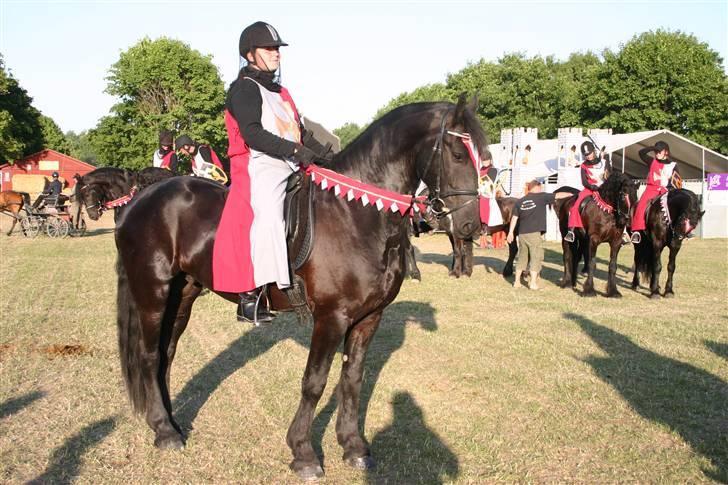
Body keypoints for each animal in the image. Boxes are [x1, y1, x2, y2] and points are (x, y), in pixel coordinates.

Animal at [77, 96, 486, 478]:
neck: (354, 215)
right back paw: (164, 431)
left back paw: (169, 422)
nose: (470, 226)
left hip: (183, 295)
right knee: (149, 356)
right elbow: (315, 382)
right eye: (456, 153)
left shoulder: (369, 318)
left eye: (483, 157)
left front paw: (353, 446)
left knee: (166, 354)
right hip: (153, 293)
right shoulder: (331, 317)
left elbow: (352, 379)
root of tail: (140, 199)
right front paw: (303, 452)